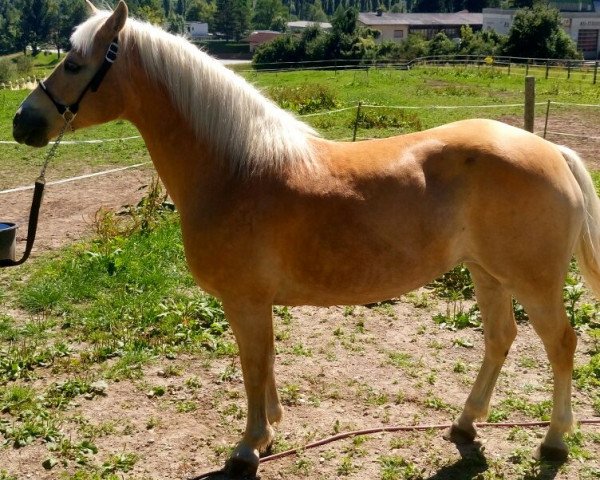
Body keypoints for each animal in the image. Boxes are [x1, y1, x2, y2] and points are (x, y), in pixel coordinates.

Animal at [10, 2, 600, 476]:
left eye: (75, 64)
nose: (22, 122)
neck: (234, 169)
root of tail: (553, 152)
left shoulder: (245, 301)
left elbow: (252, 367)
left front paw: (249, 445)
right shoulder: (256, 303)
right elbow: (264, 363)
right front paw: (271, 428)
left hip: (533, 283)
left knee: (561, 344)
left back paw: (554, 441)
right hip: (487, 273)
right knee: (500, 338)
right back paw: (466, 423)